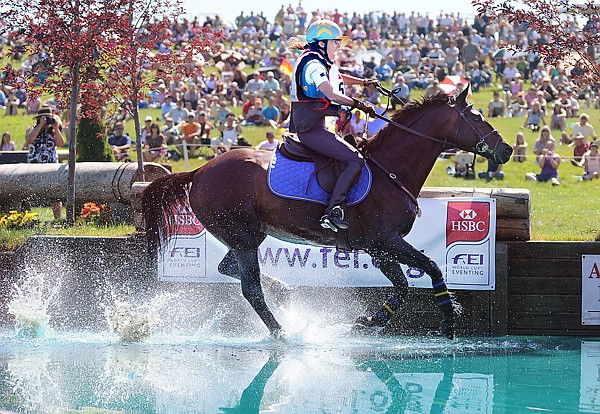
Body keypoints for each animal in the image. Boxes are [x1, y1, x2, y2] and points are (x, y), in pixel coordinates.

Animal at [143, 89, 512, 338]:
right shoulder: (385, 242)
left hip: (245, 235)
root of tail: (200, 171)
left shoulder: (379, 249)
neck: (389, 170)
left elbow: (404, 285)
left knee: (228, 268)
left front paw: (371, 320)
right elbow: (431, 267)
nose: (507, 150)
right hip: (243, 236)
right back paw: (282, 332)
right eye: (476, 117)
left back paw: (282, 290)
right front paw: (447, 316)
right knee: (251, 288)